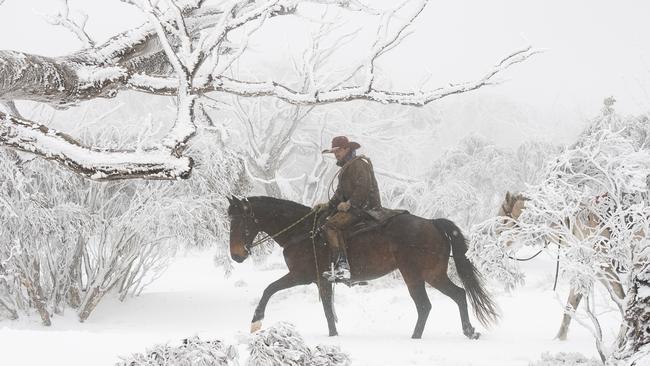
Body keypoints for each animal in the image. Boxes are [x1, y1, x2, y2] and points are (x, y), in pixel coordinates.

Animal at [225, 196, 498, 338]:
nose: (236, 255)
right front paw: (333, 336)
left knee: (424, 306)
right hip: (434, 274)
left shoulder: (299, 275)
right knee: (459, 295)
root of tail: (431, 223)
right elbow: (328, 310)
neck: (302, 231)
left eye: (241, 222)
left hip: (415, 275)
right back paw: (469, 331)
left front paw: (256, 321)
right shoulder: (322, 281)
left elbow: (269, 289)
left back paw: (415, 338)